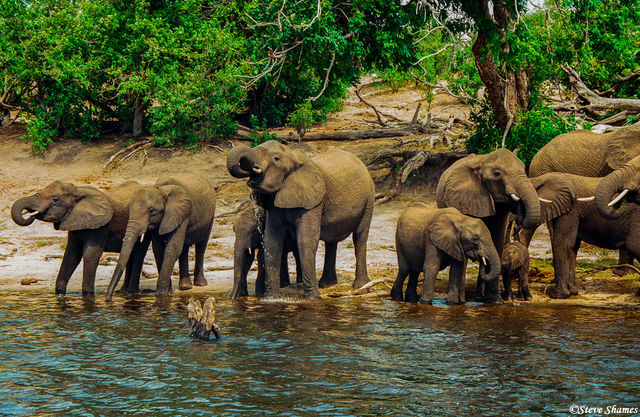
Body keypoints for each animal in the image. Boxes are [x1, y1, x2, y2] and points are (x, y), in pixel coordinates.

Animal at [11, 180, 144, 295]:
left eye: (55, 199)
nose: (30, 213)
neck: (78, 191)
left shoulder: (102, 225)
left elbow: (90, 253)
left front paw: (88, 295)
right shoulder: (74, 218)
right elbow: (71, 254)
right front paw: (60, 295)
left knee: (138, 254)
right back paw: (124, 291)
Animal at [226, 140, 375, 299]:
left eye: (276, 158)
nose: (251, 175)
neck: (294, 158)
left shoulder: (313, 201)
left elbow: (305, 241)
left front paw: (313, 299)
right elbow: (272, 241)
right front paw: (271, 298)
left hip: (369, 198)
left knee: (359, 236)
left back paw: (360, 285)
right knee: (331, 242)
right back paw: (326, 284)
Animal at [436, 148, 541, 299]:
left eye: (524, 170)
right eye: (497, 174)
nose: (519, 218)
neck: (483, 162)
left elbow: (497, 239)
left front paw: (495, 300)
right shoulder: (463, 198)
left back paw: (481, 293)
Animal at [529, 169, 640, 298]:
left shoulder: (570, 211)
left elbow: (563, 242)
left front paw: (557, 295)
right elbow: (573, 246)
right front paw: (573, 292)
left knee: (634, 245)